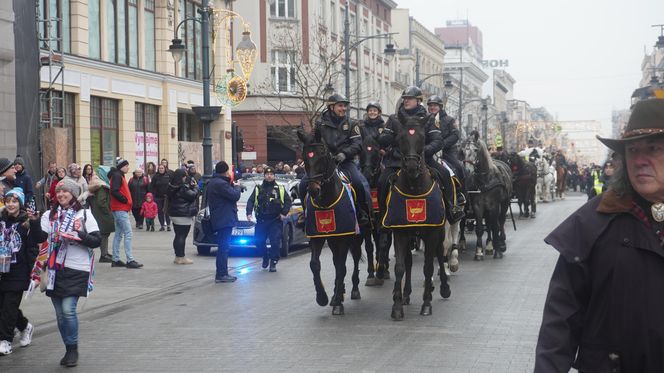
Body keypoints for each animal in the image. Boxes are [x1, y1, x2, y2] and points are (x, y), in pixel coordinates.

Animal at [300, 129, 366, 316]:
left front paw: (337, 302)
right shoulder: (317, 237)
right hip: (332, 240)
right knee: (337, 261)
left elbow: (342, 267)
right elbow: (315, 265)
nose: (313, 190)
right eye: (305, 157)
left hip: (356, 238)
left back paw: (353, 289)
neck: (326, 201)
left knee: (354, 258)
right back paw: (340, 291)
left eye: (322, 156)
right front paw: (322, 297)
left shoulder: (344, 237)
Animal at [384, 113, 452, 320]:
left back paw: (443, 288)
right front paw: (397, 306)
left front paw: (426, 304)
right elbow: (400, 266)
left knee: (439, 253)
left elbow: (428, 267)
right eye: (400, 138)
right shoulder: (400, 232)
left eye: (422, 138)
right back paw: (405, 294)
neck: (414, 188)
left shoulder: (432, 232)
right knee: (408, 261)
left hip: (439, 231)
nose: (412, 166)